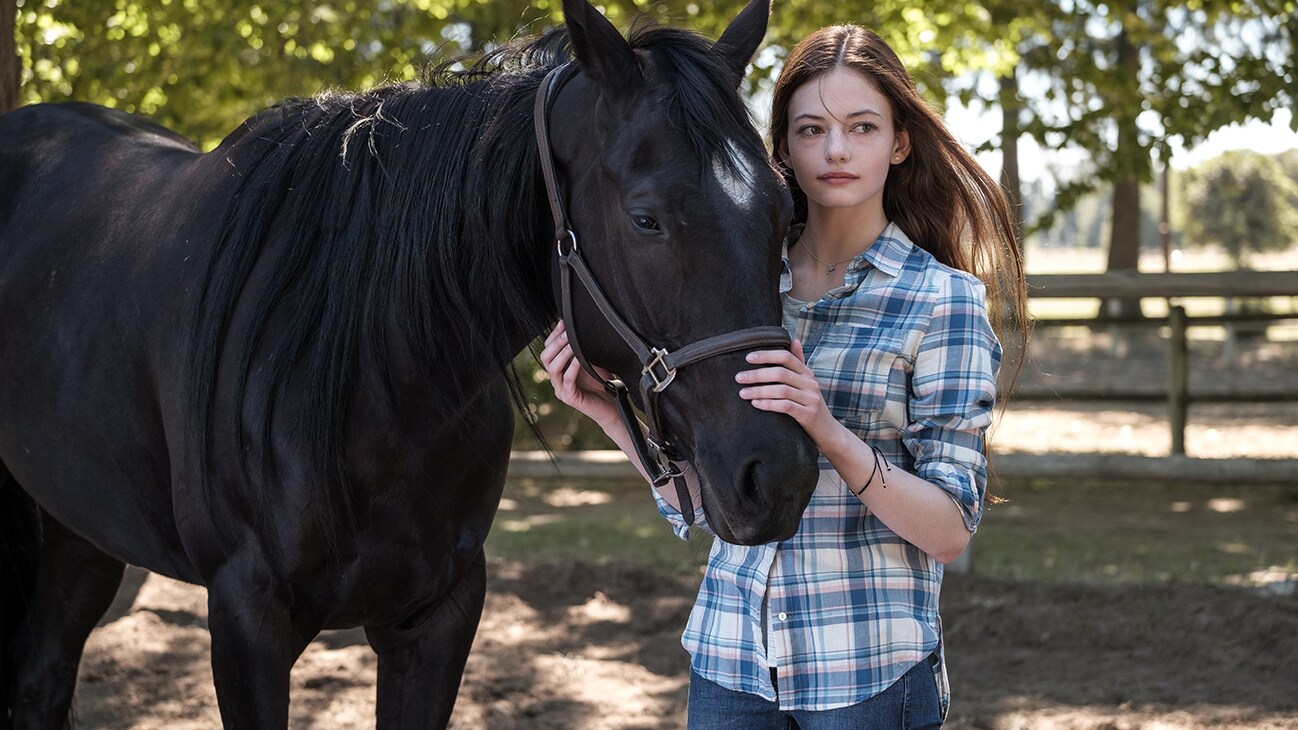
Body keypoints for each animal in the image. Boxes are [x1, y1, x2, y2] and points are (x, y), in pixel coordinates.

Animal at [0, 0, 809, 722]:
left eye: (784, 212)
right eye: (646, 219)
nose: (778, 476)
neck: (368, 381)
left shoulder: (438, 616)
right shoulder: (245, 622)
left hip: (80, 534)